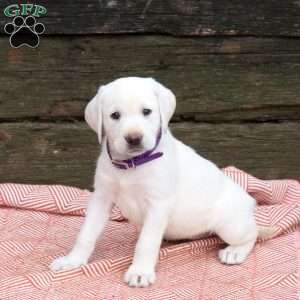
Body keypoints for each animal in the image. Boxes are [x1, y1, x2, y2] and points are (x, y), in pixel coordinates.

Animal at [50, 76, 274, 288]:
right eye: (115, 115)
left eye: (146, 111)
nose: (134, 138)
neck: (132, 164)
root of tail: (249, 204)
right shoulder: (101, 198)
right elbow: (86, 234)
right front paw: (72, 260)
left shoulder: (158, 204)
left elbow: (146, 242)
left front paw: (140, 272)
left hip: (230, 225)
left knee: (253, 234)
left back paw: (235, 252)